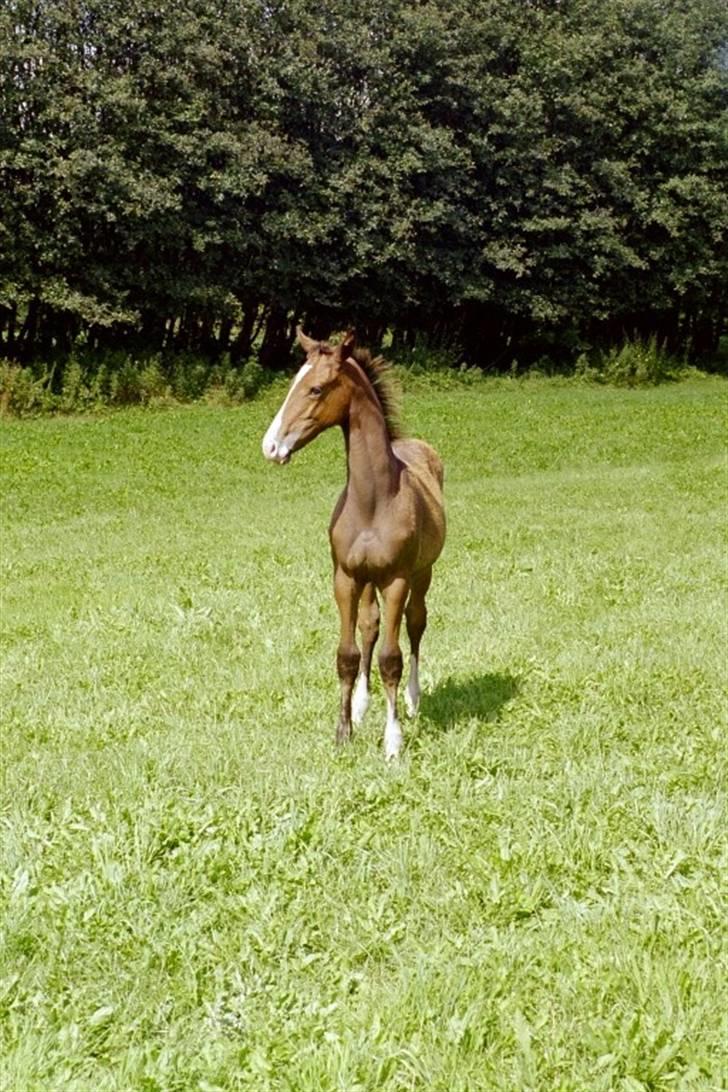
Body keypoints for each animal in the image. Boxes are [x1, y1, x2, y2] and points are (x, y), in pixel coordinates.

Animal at [261, 329, 445, 760]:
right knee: (369, 626)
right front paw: (343, 733)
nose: (271, 446)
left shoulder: (396, 579)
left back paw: (413, 699)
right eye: (293, 382)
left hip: (421, 574)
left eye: (316, 388)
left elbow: (391, 659)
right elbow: (348, 655)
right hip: (365, 581)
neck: (373, 500)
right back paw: (362, 705)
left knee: (415, 624)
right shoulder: (344, 578)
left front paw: (392, 743)